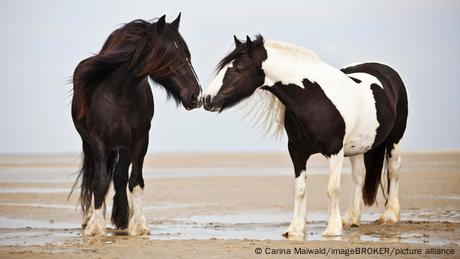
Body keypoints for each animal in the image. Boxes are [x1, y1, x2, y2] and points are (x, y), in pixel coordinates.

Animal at [72, 14, 201, 238]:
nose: (196, 94)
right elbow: (100, 181)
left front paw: (138, 225)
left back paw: (123, 218)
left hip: (123, 146)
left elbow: (135, 181)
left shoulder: (140, 141)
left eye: (187, 54)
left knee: (119, 176)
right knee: (93, 176)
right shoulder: (98, 141)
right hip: (89, 144)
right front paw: (95, 227)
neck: (118, 94)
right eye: (171, 55)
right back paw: (90, 218)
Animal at [203, 35, 408, 239]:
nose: (206, 99)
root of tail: (385, 70)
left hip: (395, 138)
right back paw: (351, 219)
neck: (313, 99)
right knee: (359, 176)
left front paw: (332, 229)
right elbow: (300, 190)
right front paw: (295, 229)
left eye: (239, 68)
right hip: (357, 147)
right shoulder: (297, 152)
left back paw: (389, 216)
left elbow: (332, 189)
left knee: (394, 170)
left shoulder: (335, 151)